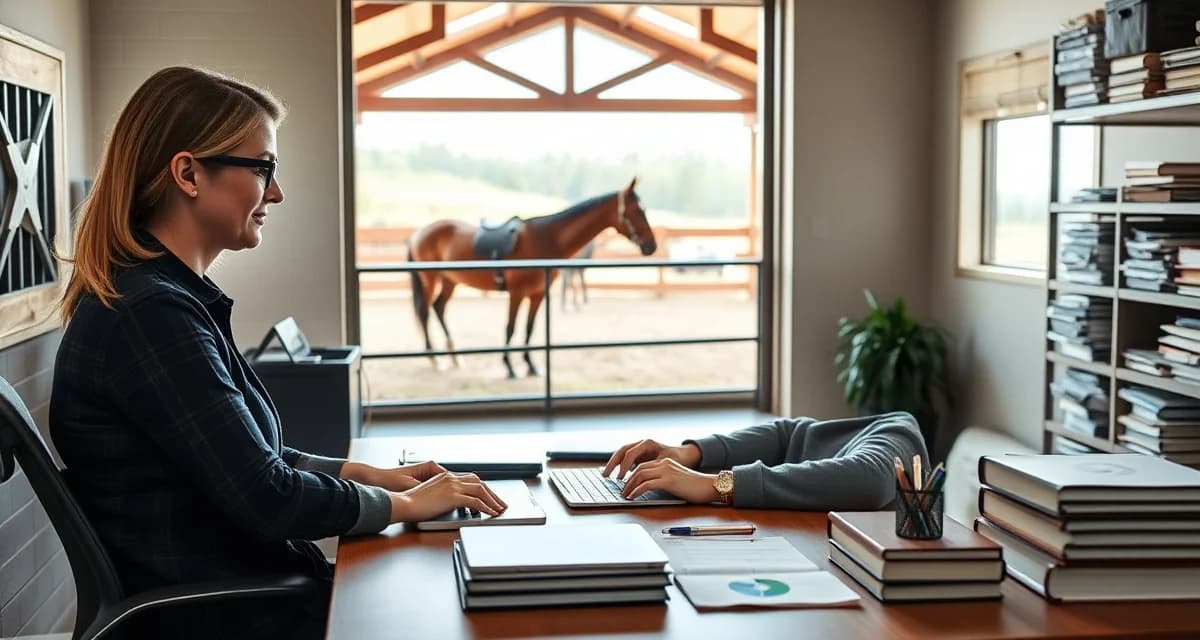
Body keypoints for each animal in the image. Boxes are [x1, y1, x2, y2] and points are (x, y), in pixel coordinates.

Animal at [407, 178, 656, 378]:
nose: (651, 246)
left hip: (449, 281)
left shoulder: (537, 294)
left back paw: (455, 356)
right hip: (430, 280)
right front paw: (509, 368)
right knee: (425, 312)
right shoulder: (517, 294)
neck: (546, 238)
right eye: (637, 210)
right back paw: (435, 359)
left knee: (439, 308)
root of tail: (419, 233)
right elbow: (510, 328)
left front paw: (530, 365)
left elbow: (529, 327)